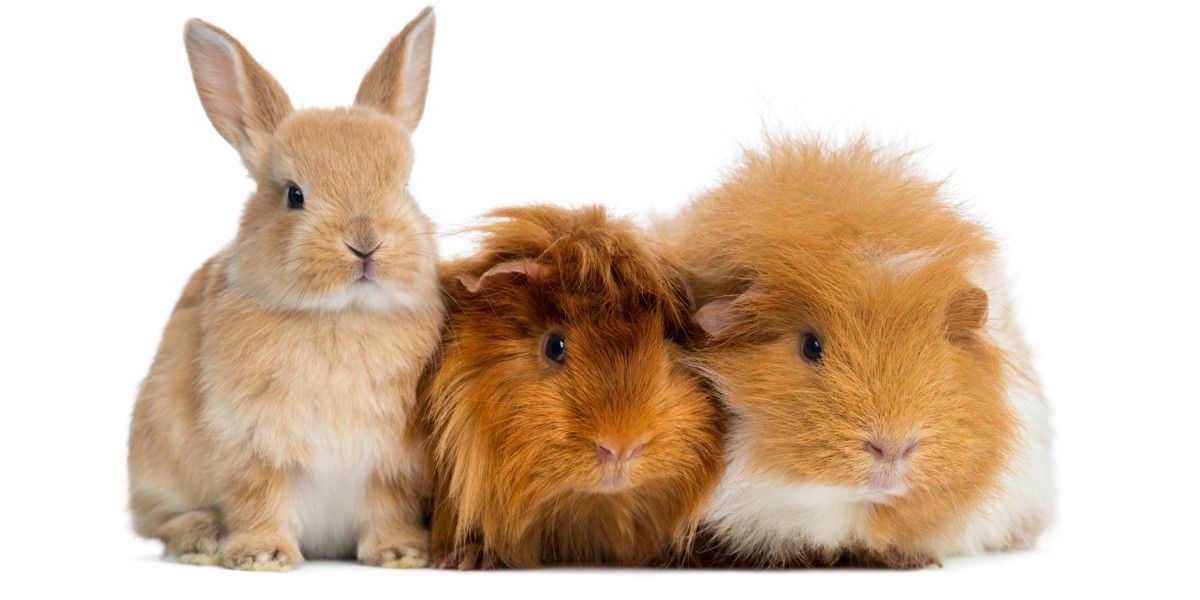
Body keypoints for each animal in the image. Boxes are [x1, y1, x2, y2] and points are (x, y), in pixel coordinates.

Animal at [127, 8, 444, 571]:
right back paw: (202, 538)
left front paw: (401, 552)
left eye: (406, 187)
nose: (365, 243)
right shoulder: (249, 443)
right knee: (163, 522)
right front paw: (262, 556)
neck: (342, 315)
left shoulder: (392, 463)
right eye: (294, 195)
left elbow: (389, 505)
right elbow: (258, 495)